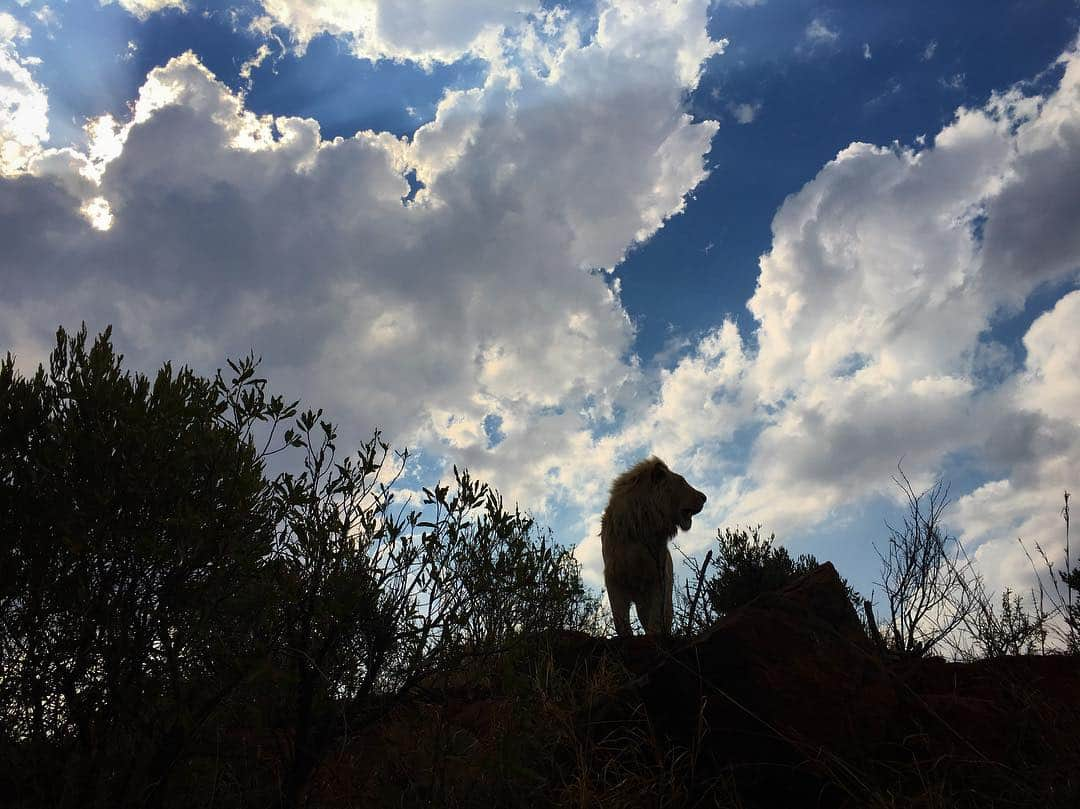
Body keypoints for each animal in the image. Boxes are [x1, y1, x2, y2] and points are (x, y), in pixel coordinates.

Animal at [604, 453, 704, 639]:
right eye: (682, 482)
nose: (704, 497)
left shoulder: (658, 577)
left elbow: (656, 617)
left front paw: (653, 636)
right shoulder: (614, 578)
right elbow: (620, 618)